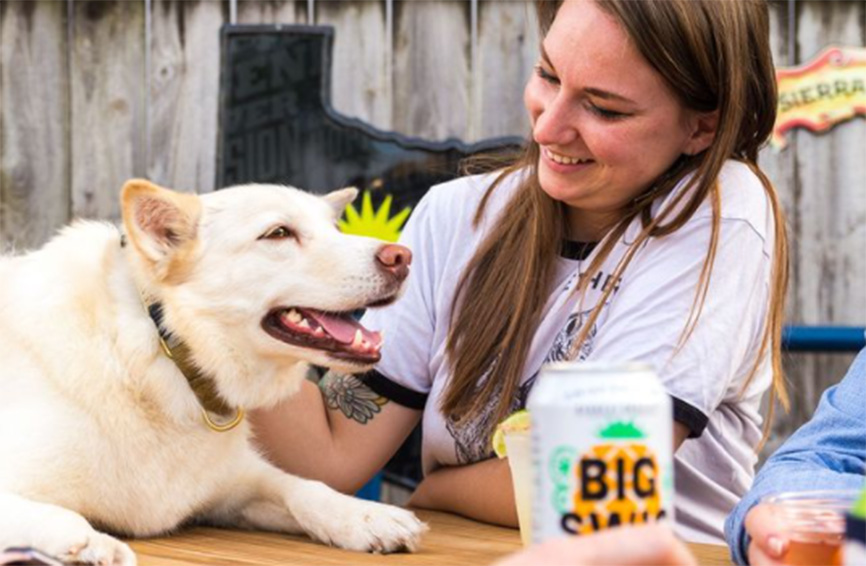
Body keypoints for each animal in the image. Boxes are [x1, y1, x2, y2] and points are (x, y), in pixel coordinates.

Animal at [0, 181, 426, 566]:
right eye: (279, 233)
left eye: (334, 230)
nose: (402, 257)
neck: (162, 353)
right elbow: (61, 516)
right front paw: (90, 546)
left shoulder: (236, 485)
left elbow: (304, 488)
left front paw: (365, 516)